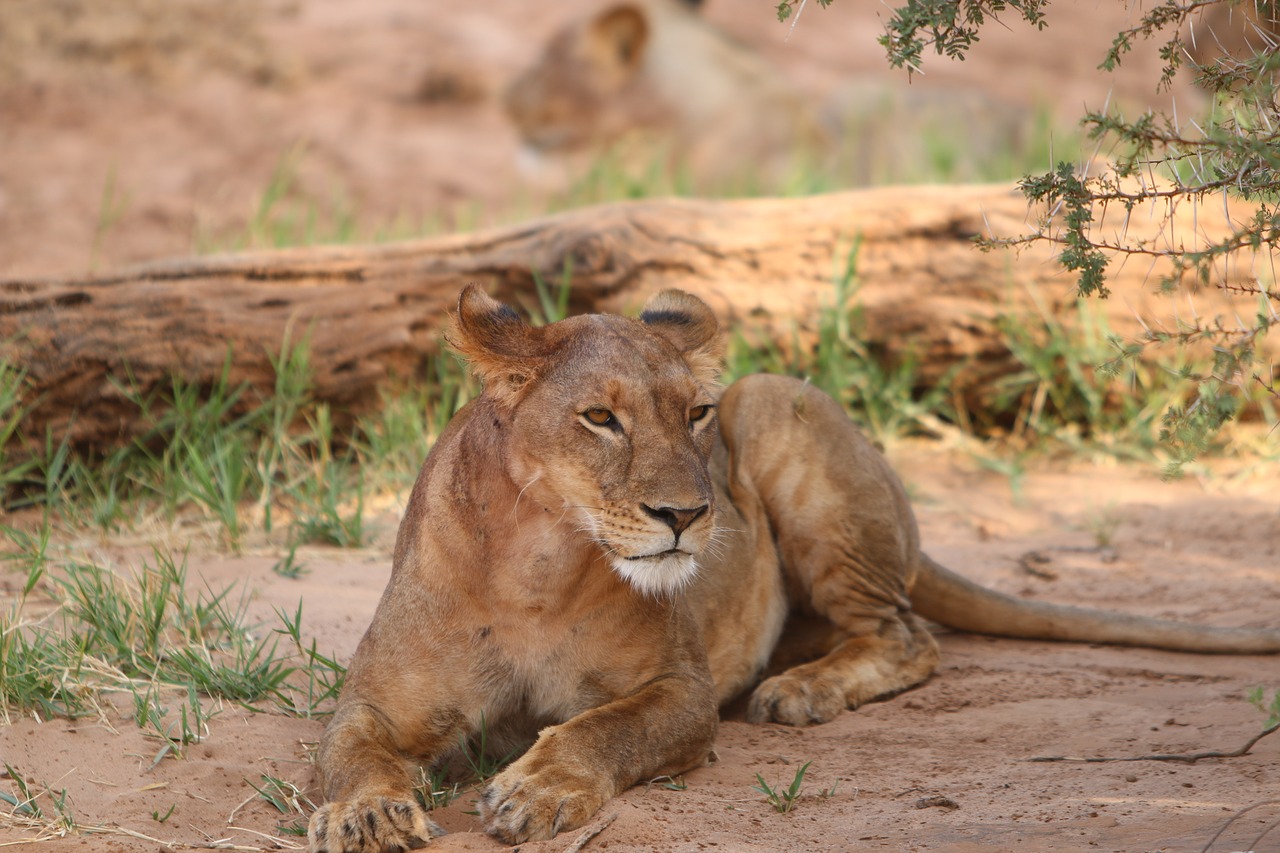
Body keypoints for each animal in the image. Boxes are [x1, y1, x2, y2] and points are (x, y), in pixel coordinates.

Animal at [304, 286, 1274, 850]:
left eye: (693, 414)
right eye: (600, 418)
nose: (689, 515)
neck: (535, 565)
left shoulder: (682, 690)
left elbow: (600, 729)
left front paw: (537, 789)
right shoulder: (374, 701)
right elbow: (350, 754)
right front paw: (368, 813)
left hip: (777, 402)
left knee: (906, 635)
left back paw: (800, 689)